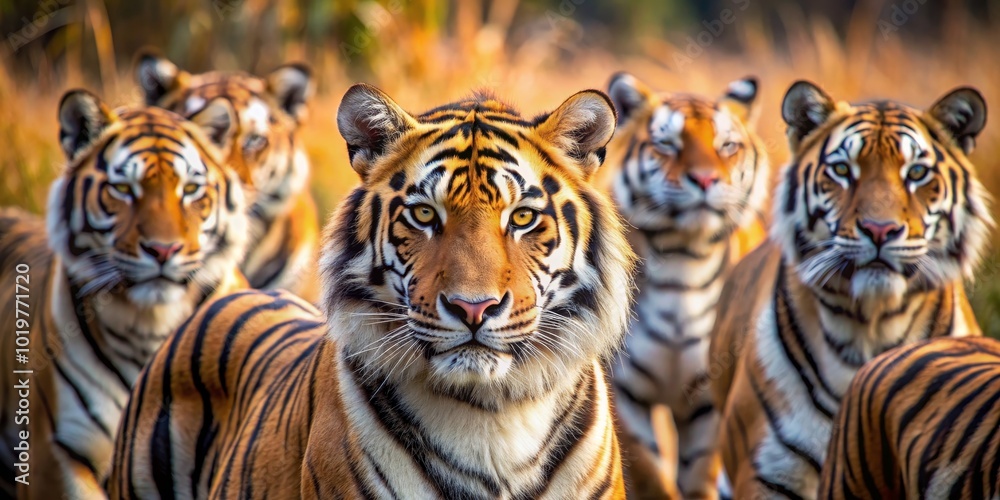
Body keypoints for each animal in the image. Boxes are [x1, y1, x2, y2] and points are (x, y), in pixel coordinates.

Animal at [599, 72, 770, 499]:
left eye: (727, 146)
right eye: (667, 144)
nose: (706, 179)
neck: (683, 261)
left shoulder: (708, 399)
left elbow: (698, 475)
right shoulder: (625, 394)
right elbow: (651, 476)